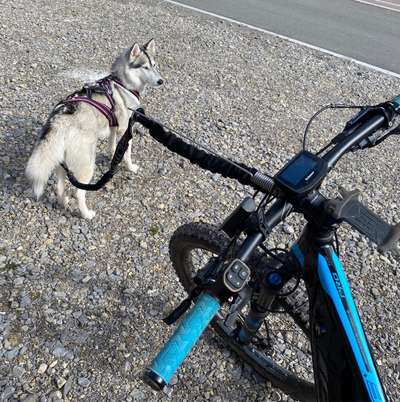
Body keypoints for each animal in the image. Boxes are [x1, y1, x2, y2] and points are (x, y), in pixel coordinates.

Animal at [25, 39, 163, 218]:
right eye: (145, 67)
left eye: (154, 65)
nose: (161, 81)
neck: (123, 83)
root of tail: (60, 119)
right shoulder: (126, 129)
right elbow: (127, 154)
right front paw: (130, 167)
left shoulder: (114, 127)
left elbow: (113, 145)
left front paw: (112, 155)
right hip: (87, 164)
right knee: (78, 192)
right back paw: (86, 214)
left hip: (62, 161)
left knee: (59, 186)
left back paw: (64, 202)